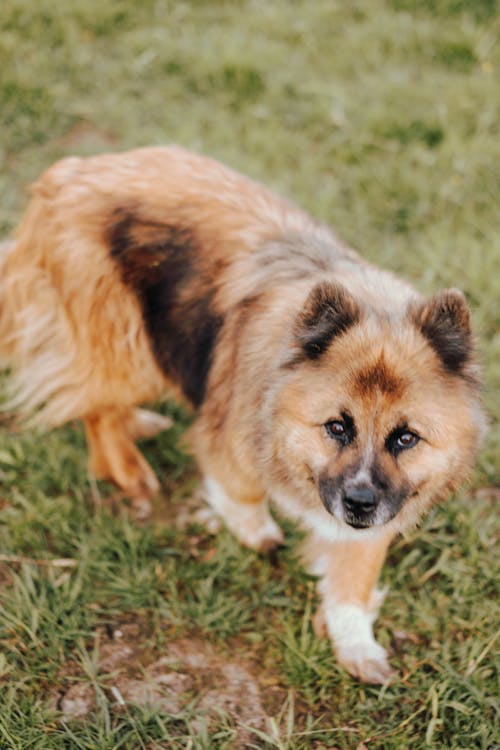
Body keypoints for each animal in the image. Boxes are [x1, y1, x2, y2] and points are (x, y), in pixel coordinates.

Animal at [0, 147, 484, 688]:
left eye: (405, 438)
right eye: (337, 427)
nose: (359, 502)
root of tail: (69, 173)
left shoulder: (378, 512)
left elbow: (353, 581)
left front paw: (355, 645)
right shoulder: (230, 435)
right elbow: (241, 489)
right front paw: (253, 530)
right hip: (137, 348)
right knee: (97, 410)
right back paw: (131, 471)